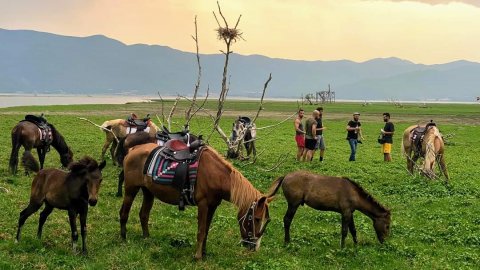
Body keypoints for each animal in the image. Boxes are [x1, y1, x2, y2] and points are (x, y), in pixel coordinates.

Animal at [119, 143, 274, 260]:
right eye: (257, 219)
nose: (254, 247)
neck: (216, 175)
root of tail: (134, 149)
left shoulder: (213, 206)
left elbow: (206, 231)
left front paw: (204, 253)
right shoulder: (203, 205)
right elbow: (200, 231)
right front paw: (198, 256)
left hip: (148, 192)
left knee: (144, 214)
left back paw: (146, 238)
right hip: (130, 190)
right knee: (124, 213)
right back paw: (123, 238)